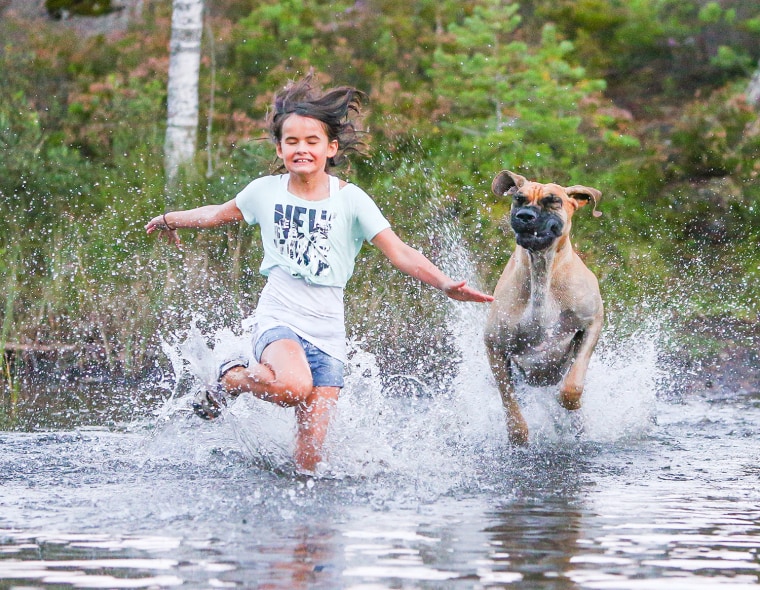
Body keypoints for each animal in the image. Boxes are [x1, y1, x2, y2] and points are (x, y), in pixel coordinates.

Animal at [486, 170, 604, 444]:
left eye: (553, 201)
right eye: (518, 198)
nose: (525, 216)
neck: (542, 270)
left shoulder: (593, 322)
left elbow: (573, 384)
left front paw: (570, 401)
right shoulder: (494, 345)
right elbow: (509, 401)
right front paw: (518, 434)